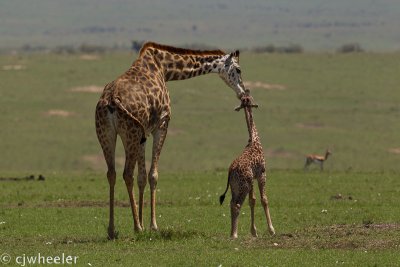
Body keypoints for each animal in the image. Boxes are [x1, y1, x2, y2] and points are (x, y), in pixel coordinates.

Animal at [95, 41, 248, 239]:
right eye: (238, 69)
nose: (243, 93)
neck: (165, 68)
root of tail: (112, 100)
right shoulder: (162, 123)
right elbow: (153, 175)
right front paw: (152, 225)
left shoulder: (145, 133)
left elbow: (142, 177)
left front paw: (143, 222)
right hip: (130, 133)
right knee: (126, 174)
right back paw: (135, 227)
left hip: (107, 134)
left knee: (111, 173)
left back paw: (112, 230)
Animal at [219, 94, 276, 241]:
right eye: (251, 98)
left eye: (247, 99)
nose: (256, 104)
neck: (254, 140)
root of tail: (230, 171)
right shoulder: (262, 174)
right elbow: (264, 199)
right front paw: (271, 230)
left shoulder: (253, 179)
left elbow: (252, 200)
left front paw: (254, 232)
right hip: (243, 186)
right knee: (237, 205)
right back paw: (234, 234)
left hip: (235, 187)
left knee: (231, 203)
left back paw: (232, 232)